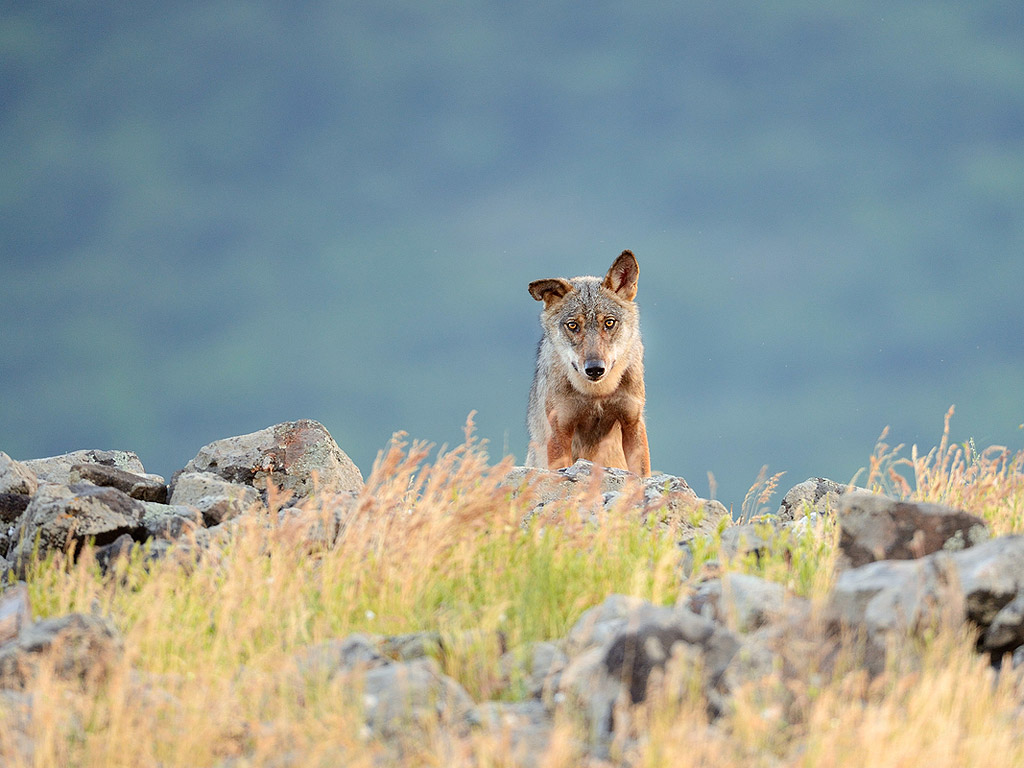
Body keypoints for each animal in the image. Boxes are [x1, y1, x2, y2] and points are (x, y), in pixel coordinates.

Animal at [524, 250, 651, 475]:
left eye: (609, 322)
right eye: (573, 325)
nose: (594, 369)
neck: (597, 394)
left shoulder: (632, 422)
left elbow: (641, 475)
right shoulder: (559, 430)